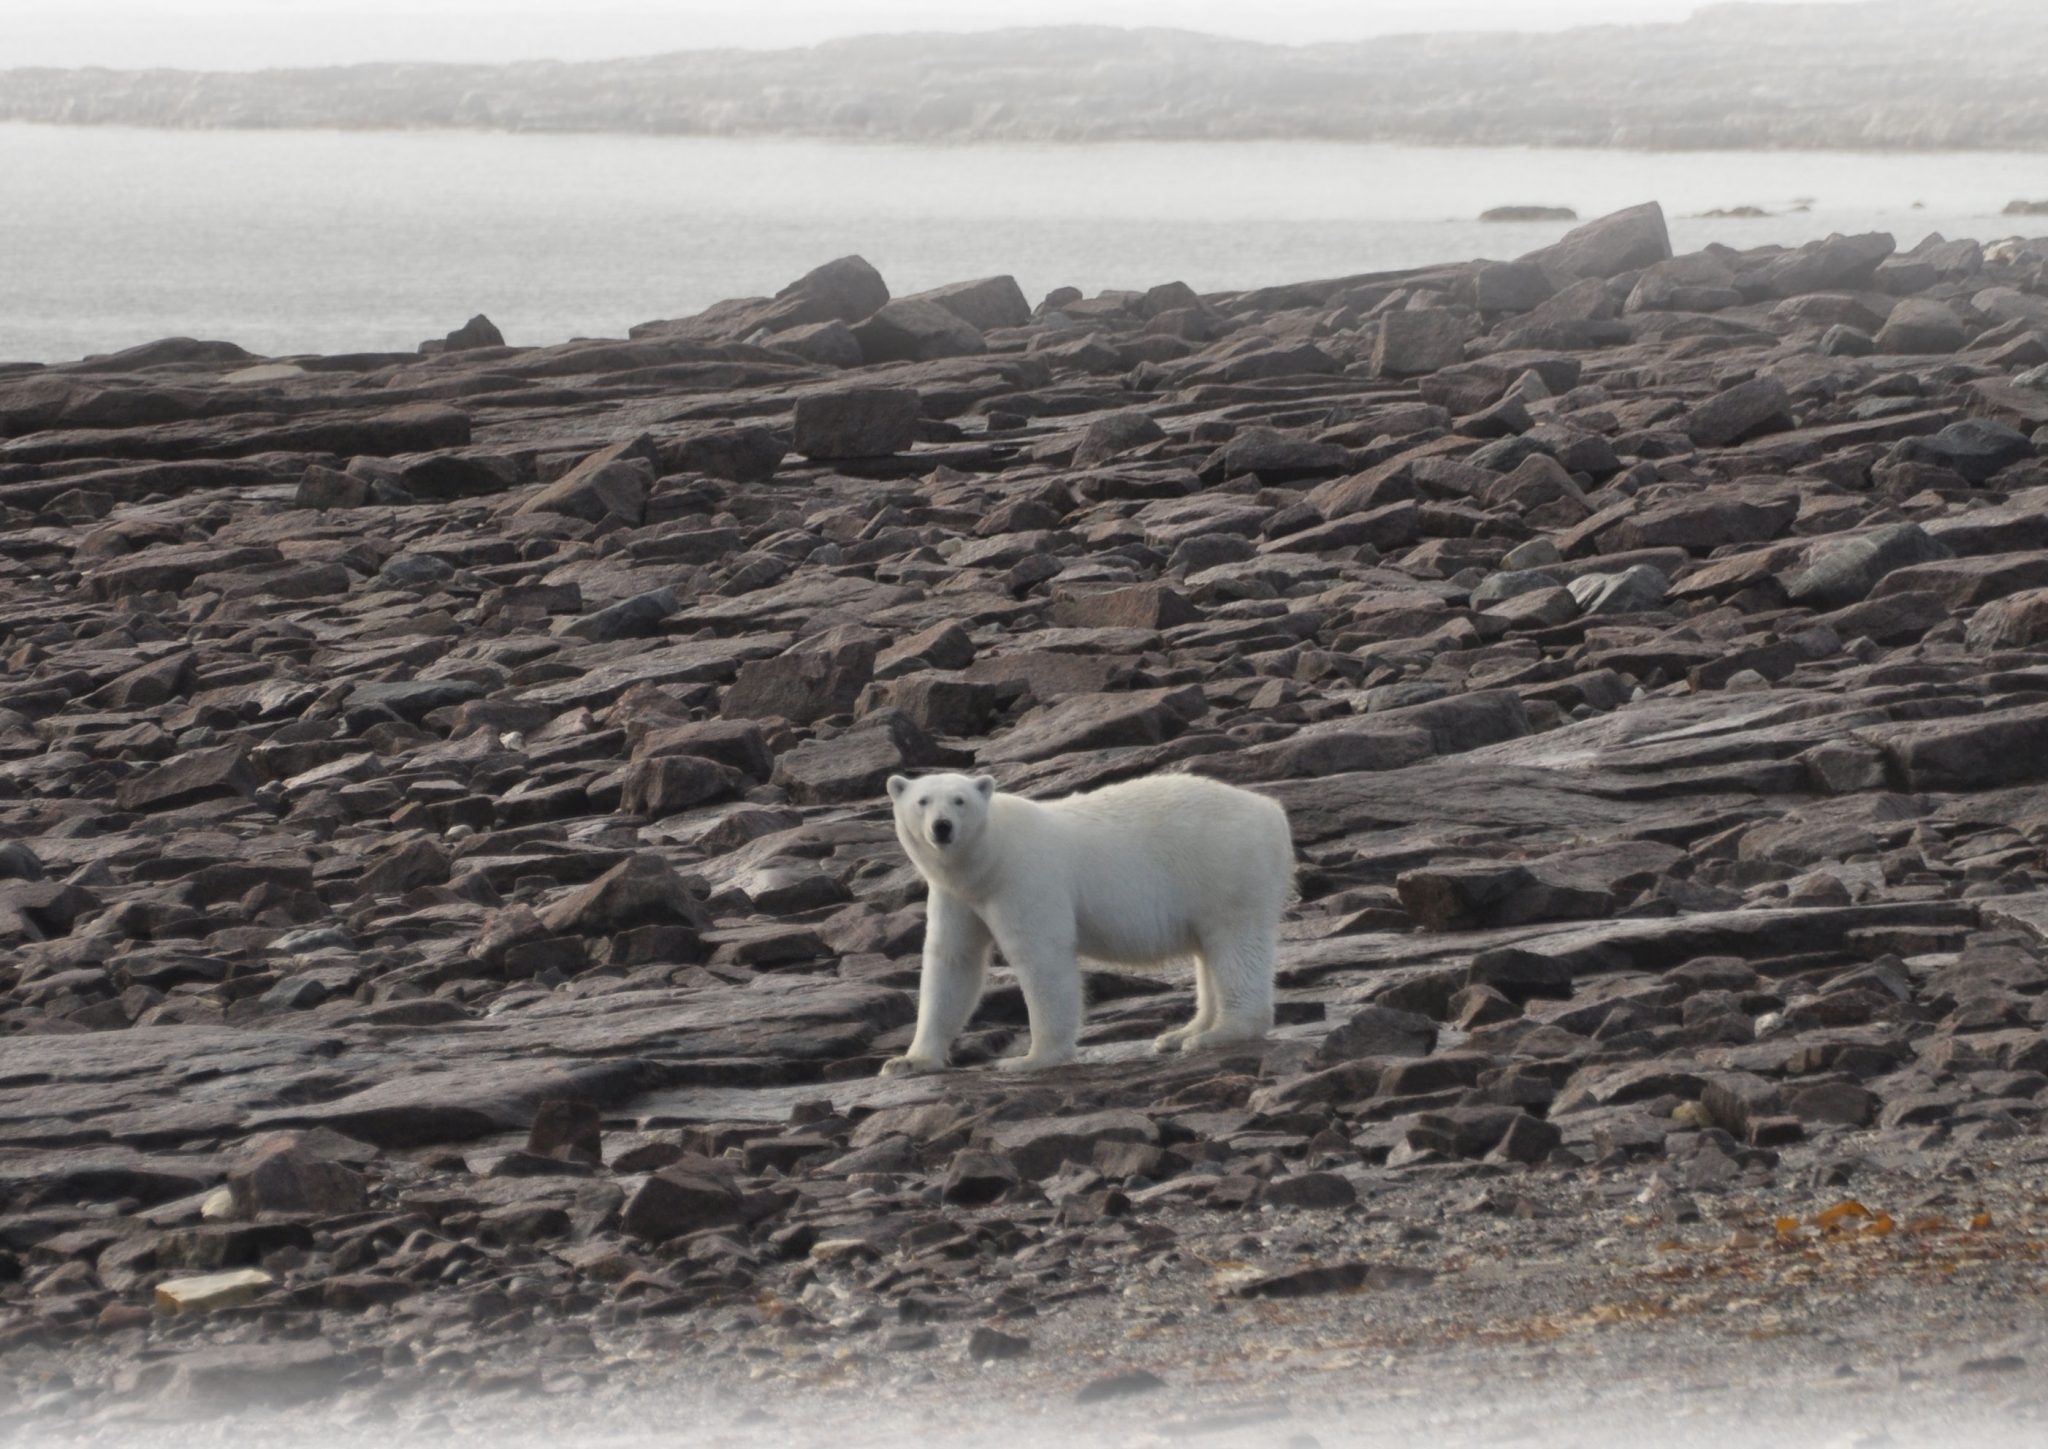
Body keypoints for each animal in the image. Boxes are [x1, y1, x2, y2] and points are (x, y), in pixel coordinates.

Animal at [880, 771, 1294, 1075]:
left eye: (960, 800)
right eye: (922, 801)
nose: (942, 827)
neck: (988, 860)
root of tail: (1272, 811)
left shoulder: (1025, 879)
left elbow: (1041, 957)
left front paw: (1029, 1059)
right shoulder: (956, 896)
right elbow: (953, 962)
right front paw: (908, 1061)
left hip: (1225, 866)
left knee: (1235, 943)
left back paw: (1221, 1032)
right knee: (1209, 951)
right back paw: (1182, 1032)